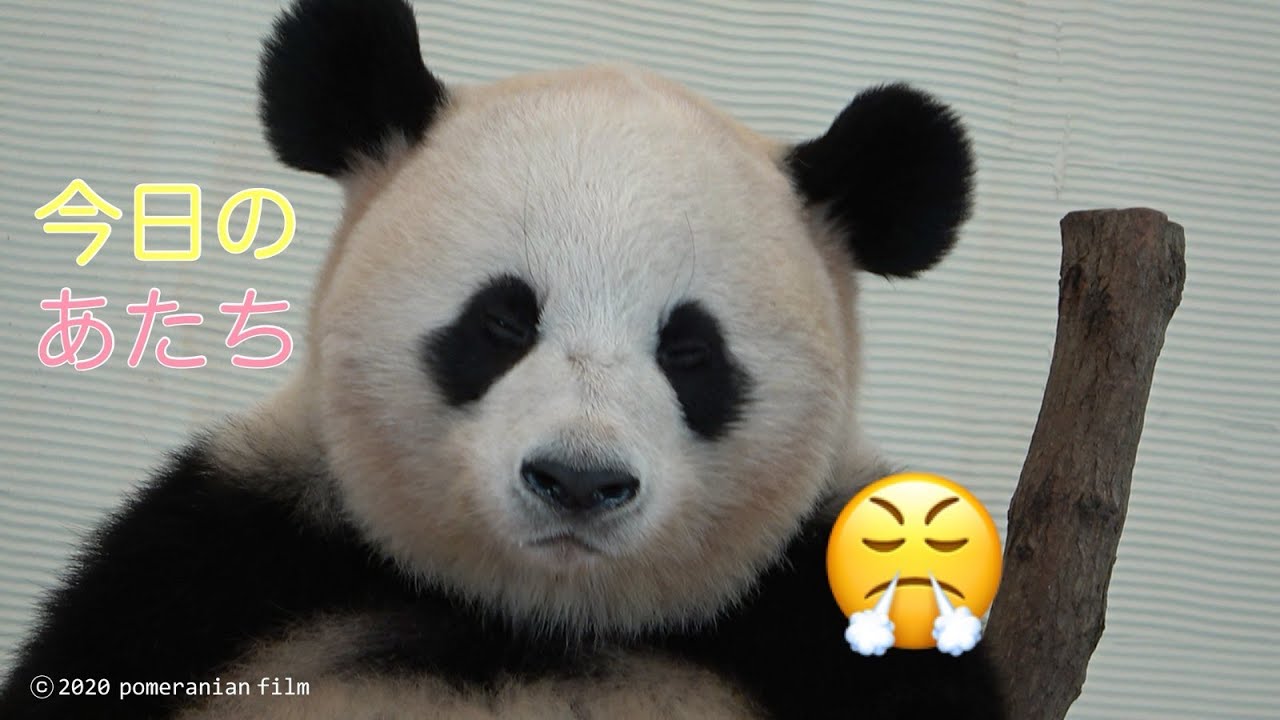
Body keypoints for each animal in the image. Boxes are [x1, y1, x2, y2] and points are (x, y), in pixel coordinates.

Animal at [0, 0, 1003, 717]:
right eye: (504, 322)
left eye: (690, 349)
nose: (579, 482)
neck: (531, 618)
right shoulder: (223, 560)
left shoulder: (832, 608)